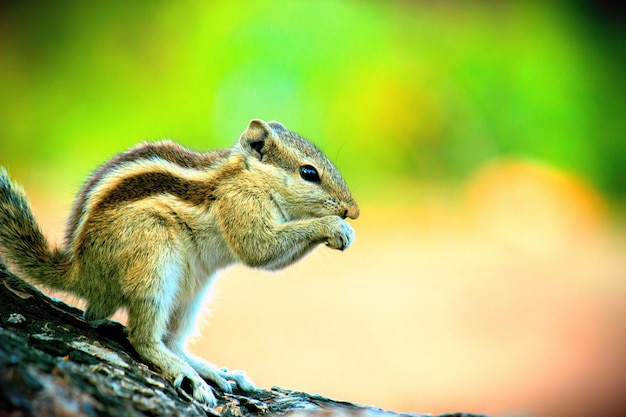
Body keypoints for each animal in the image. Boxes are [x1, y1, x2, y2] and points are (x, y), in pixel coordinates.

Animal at [0, 118, 358, 404]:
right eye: (308, 173)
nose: (352, 211)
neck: (249, 176)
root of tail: (79, 270)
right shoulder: (240, 203)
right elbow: (260, 250)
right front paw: (333, 227)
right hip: (153, 259)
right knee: (142, 337)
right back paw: (190, 377)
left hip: (193, 291)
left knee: (169, 338)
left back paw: (212, 371)